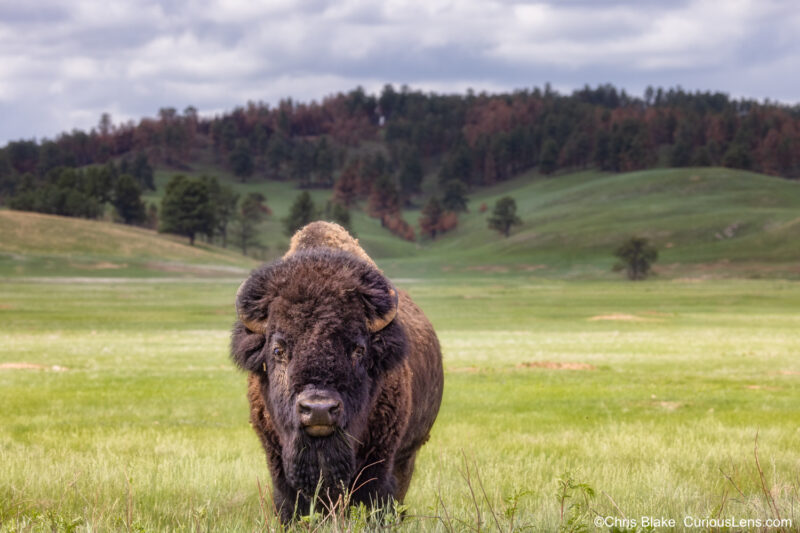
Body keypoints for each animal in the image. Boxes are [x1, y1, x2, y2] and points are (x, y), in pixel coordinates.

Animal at [231, 219, 444, 520]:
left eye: (358, 349)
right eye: (278, 349)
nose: (318, 409)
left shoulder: (380, 464)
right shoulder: (277, 460)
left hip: (408, 454)